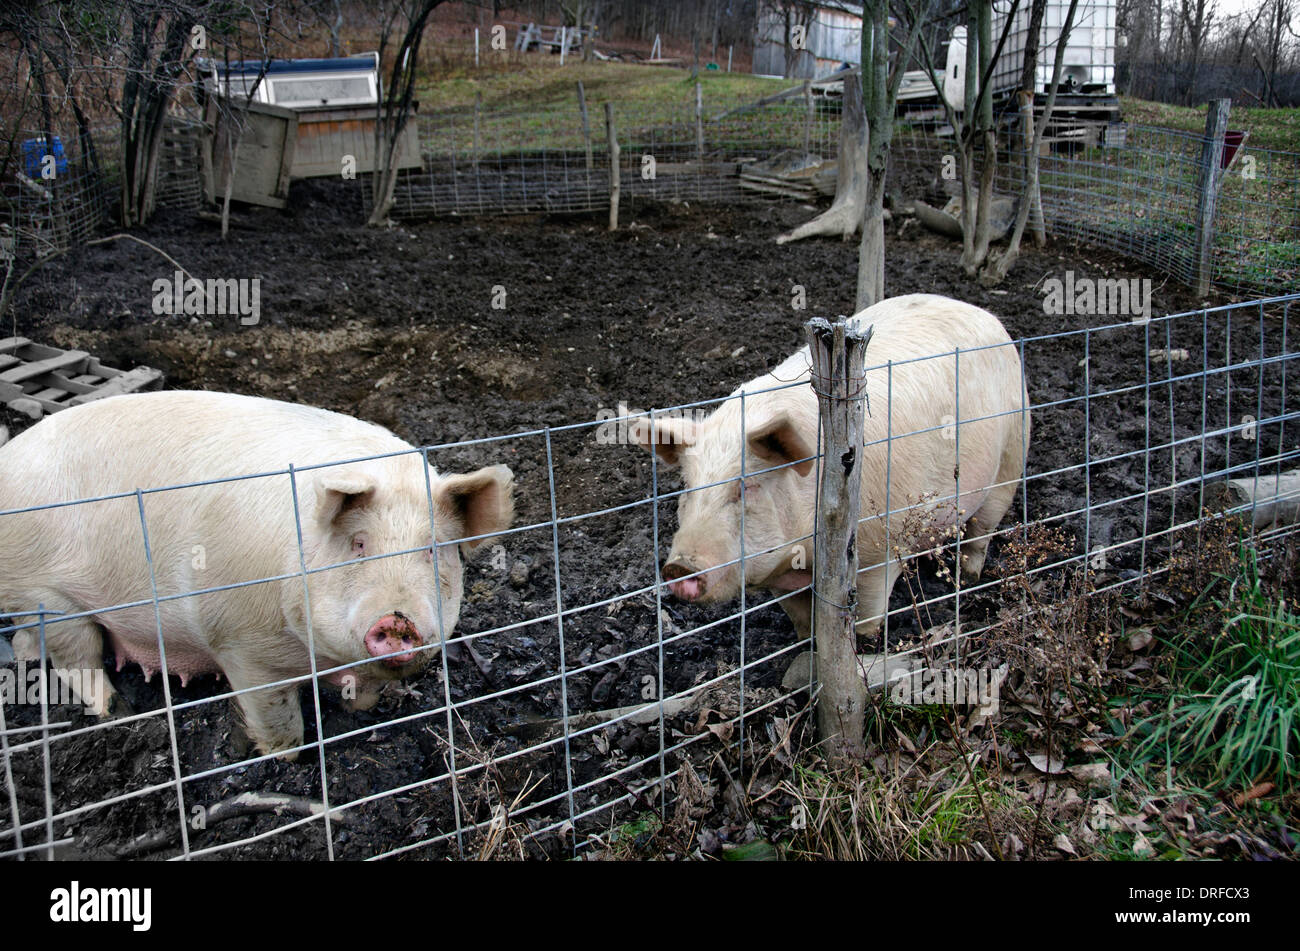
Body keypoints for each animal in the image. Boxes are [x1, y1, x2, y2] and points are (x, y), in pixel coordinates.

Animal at [0, 389, 514, 753]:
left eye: (433, 550)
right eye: (359, 544)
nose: (397, 620)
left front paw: (360, 712)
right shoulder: (241, 644)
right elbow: (276, 717)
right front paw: (286, 758)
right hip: (48, 596)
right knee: (79, 660)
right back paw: (118, 712)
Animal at [634, 294, 1029, 639]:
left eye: (748, 486)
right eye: (688, 486)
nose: (678, 566)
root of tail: (983, 314)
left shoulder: (877, 552)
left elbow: (866, 615)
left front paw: (864, 644)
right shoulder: (781, 579)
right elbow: (799, 619)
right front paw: (806, 644)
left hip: (1011, 457)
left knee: (983, 530)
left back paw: (968, 577)